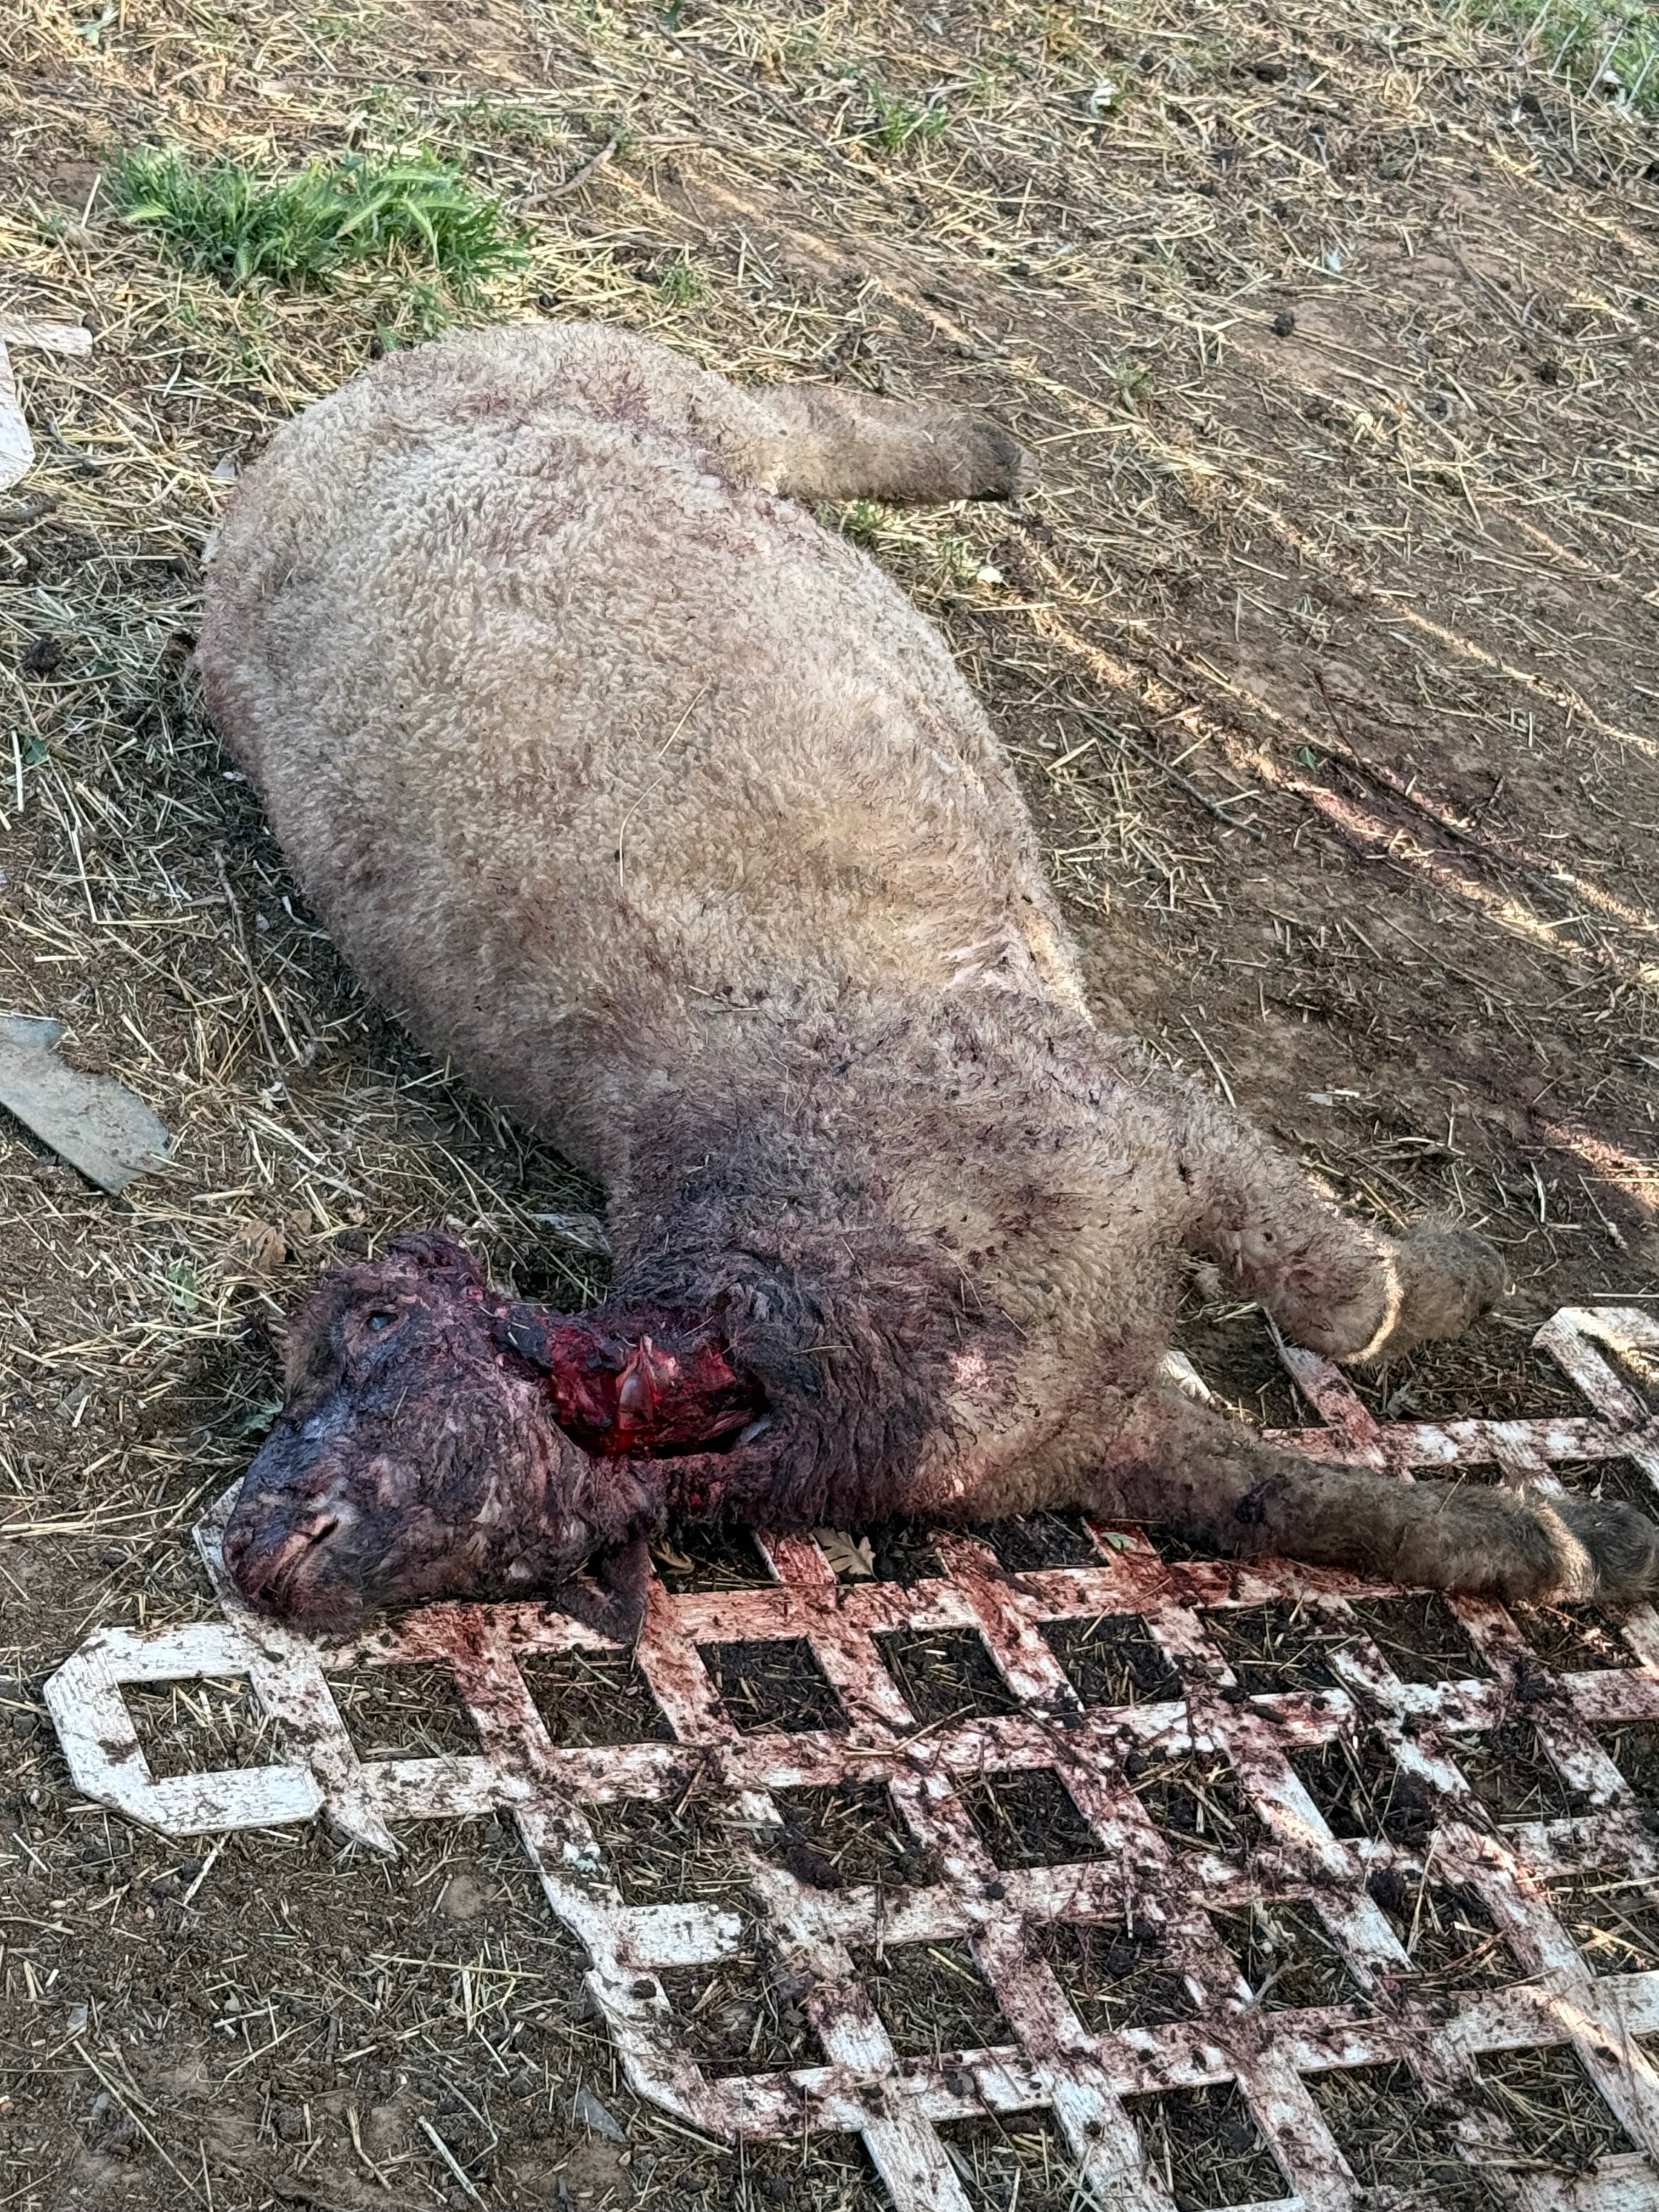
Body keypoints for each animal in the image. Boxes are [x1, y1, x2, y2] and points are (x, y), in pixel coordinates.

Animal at [198, 320, 1659, 1637]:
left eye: (373, 1325)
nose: (259, 1549)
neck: (766, 1362)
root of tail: (315, 424)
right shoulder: (1100, 1436)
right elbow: (1328, 1512)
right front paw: (1593, 1548)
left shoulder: (1139, 1126)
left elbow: (1342, 1303)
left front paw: (1465, 1279)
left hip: (629, 380)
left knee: (799, 418)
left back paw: (990, 453)